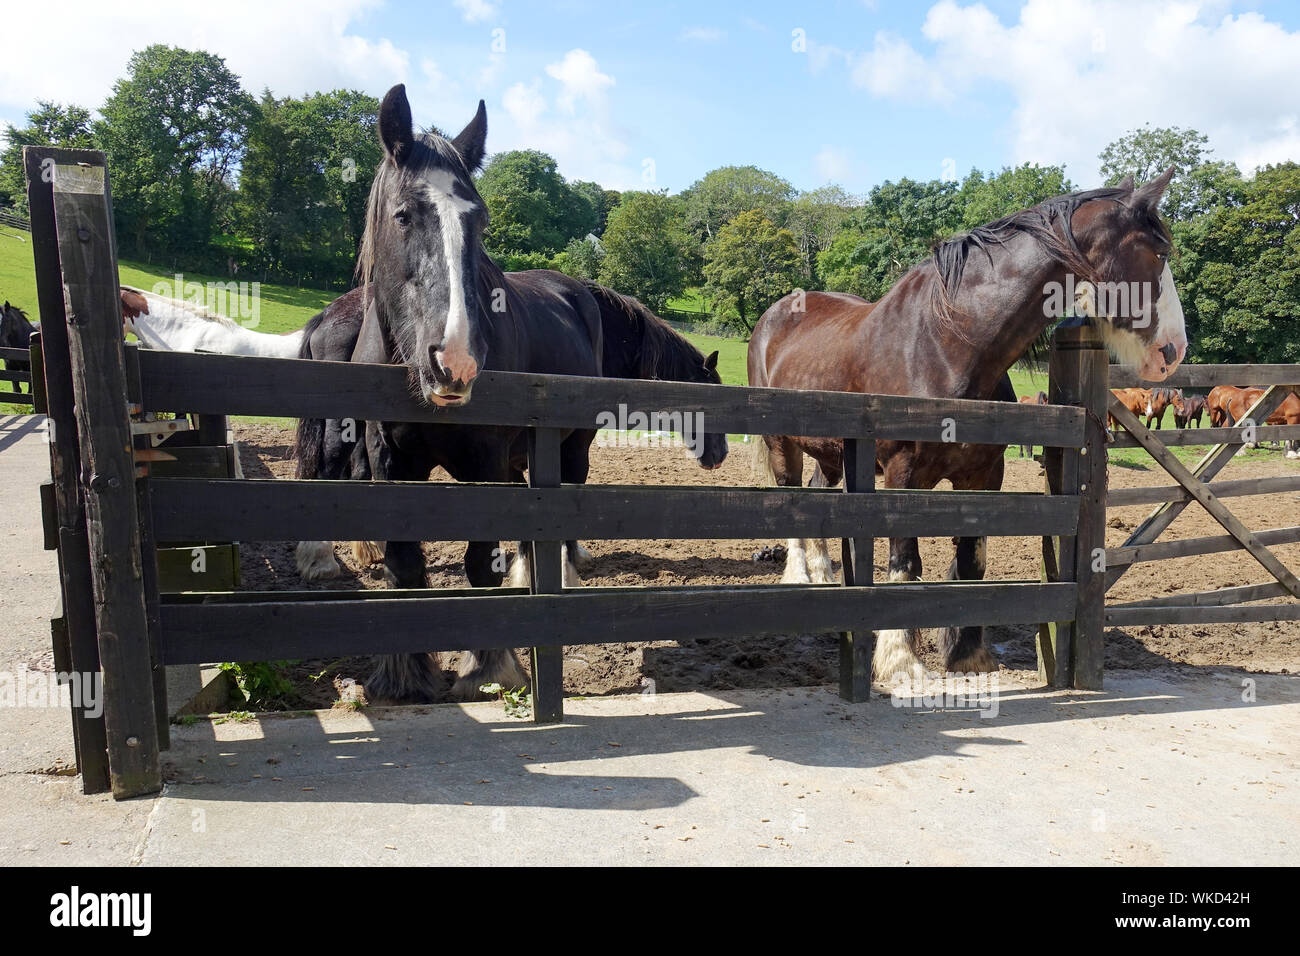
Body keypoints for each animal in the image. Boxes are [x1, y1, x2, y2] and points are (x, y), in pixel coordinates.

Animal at [748, 171, 1185, 681]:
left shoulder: (983, 474)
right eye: (1159, 253)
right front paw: (901, 661)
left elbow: (972, 559)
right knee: (793, 503)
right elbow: (905, 561)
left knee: (819, 498)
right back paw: (801, 579)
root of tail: (773, 315)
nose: (1174, 350)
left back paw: (824, 580)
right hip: (781, 442)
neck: (944, 345)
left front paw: (968, 653)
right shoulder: (902, 474)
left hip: (832, 451)